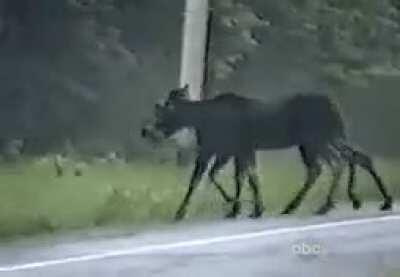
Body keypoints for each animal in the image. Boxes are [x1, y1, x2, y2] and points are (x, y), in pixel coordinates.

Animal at [142, 85, 392, 219]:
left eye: (161, 113)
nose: (146, 131)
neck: (199, 120)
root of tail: (335, 107)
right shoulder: (236, 150)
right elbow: (243, 177)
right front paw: (243, 207)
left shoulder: (222, 149)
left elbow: (206, 179)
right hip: (319, 140)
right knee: (352, 158)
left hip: (317, 139)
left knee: (338, 162)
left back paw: (327, 205)